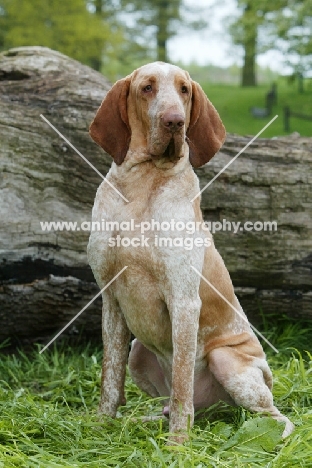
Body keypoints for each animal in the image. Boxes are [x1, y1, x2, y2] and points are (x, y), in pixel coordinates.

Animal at [88, 62, 294, 442]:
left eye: (184, 90)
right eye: (147, 88)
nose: (174, 121)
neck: (143, 184)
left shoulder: (184, 302)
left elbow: (183, 384)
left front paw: (178, 445)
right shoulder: (110, 300)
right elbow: (110, 380)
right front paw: (100, 428)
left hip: (228, 362)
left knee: (276, 416)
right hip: (138, 351)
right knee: (167, 403)